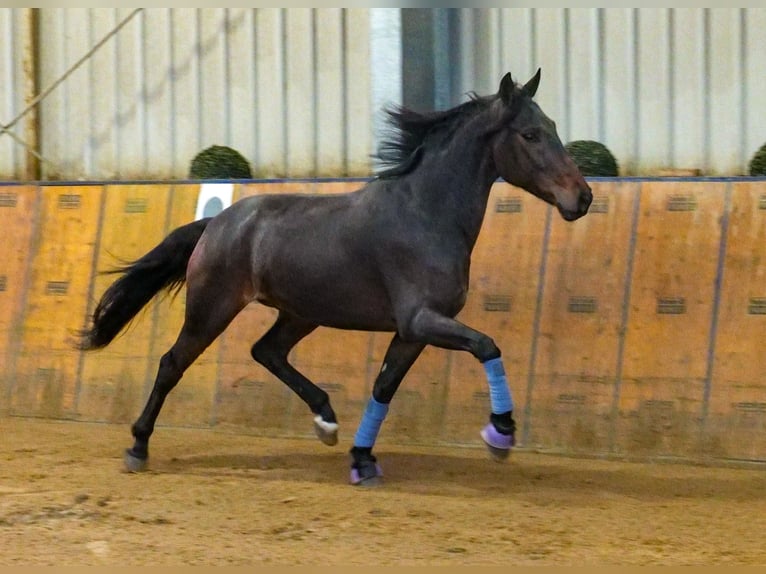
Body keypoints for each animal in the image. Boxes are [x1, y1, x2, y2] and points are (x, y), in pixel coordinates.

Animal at [79, 71, 592, 486]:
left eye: (553, 129)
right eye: (530, 134)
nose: (583, 197)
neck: (425, 214)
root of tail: (217, 223)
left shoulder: (413, 332)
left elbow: (384, 387)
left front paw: (362, 460)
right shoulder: (422, 319)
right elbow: (487, 346)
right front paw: (499, 434)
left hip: (301, 313)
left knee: (266, 351)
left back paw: (326, 421)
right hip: (213, 308)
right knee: (172, 364)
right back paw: (137, 447)